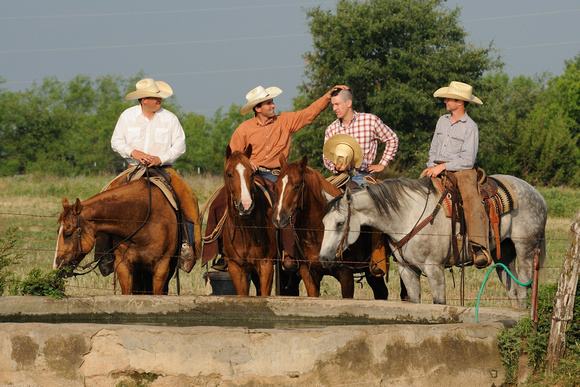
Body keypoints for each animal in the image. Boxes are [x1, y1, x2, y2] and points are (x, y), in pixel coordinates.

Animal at [320, 176, 548, 310]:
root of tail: (538, 195)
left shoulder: (434, 268)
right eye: (323, 223)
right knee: (514, 292)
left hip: (526, 249)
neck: (409, 216)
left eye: (340, 223)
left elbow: (439, 303)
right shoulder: (406, 269)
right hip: (504, 256)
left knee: (524, 288)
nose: (323, 259)